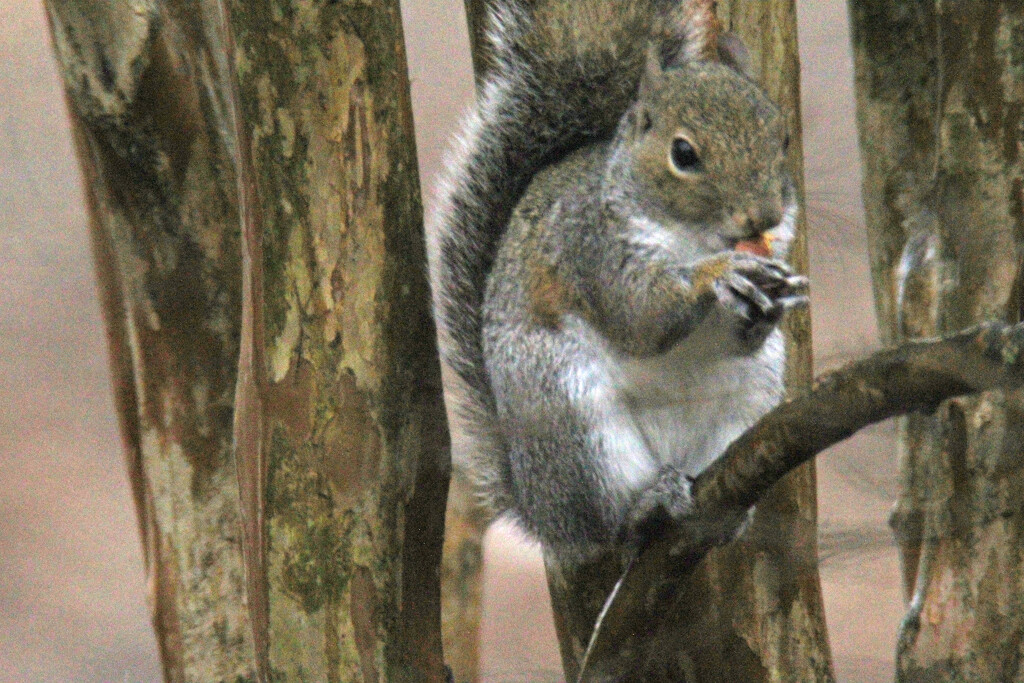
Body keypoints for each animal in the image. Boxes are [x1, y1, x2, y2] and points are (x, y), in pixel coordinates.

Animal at [432, 0, 806, 565]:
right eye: (684, 154)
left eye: (782, 139)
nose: (763, 216)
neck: (693, 236)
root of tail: (539, 508)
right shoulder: (590, 246)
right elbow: (640, 315)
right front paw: (718, 274)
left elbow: (737, 334)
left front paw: (769, 303)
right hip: (571, 417)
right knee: (608, 526)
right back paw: (644, 506)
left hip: (748, 402)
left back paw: (722, 515)